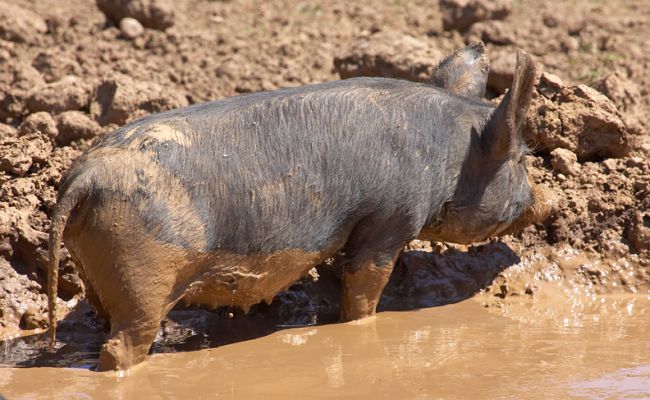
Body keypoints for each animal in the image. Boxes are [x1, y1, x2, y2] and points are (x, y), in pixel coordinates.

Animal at [48, 46, 550, 371]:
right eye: (522, 157)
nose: (546, 204)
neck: (446, 153)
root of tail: (85, 178)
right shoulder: (390, 220)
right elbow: (365, 285)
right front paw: (361, 322)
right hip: (143, 272)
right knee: (122, 347)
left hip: (98, 269)